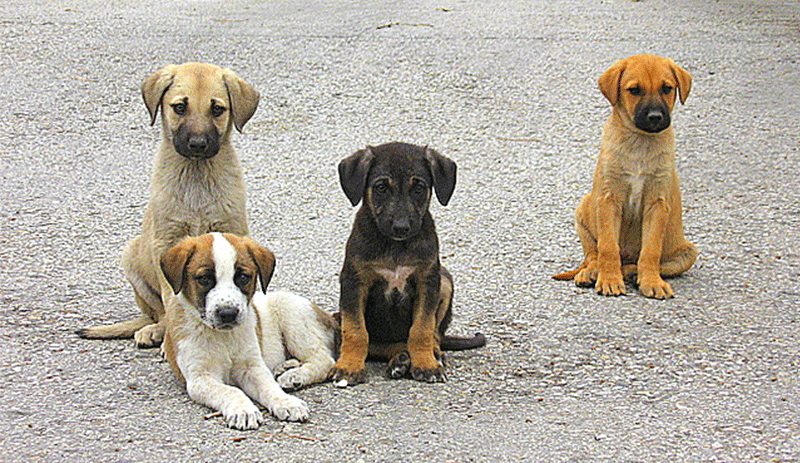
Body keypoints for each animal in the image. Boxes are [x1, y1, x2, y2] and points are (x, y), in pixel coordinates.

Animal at [78, 62, 260, 348]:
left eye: (217, 109)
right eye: (180, 107)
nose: (197, 144)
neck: (196, 175)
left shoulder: (232, 230)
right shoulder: (166, 242)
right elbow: (172, 298)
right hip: (131, 256)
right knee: (158, 313)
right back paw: (155, 330)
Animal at [159, 234, 338, 430]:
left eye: (243, 277)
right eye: (205, 279)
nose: (228, 313)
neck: (224, 337)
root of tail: (330, 317)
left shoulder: (251, 367)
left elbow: (269, 387)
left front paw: (286, 402)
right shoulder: (201, 377)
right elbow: (231, 391)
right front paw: (243, 410)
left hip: (291, 313)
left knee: (324, 360)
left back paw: (295, 375)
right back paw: (285, 367)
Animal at [328, 142, 484, 388]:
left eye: (419, 187)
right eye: (381, 187)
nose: (401, 227)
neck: (395, 246)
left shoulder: (428, 281)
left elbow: (422, 329)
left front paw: (426, 364)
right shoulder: (354, 282)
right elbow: (355, 331)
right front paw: (349, 367)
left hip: (445, 280)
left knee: (433, 336)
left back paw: (426, 356)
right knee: (381, 345)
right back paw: (400, 360)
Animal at [552, 54, 696, 300]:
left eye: (667, 88)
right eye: (634, 90)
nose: (655, 117)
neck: (640, 143)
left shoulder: (657, 204)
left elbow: (650, 250)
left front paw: (651, 282)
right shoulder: (608, 200)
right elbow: (608, 247)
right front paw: (609, 281)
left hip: (688, 252)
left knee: (638, 263)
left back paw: (633, 274)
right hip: (584, 209)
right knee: (593, 255)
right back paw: (591, 273)